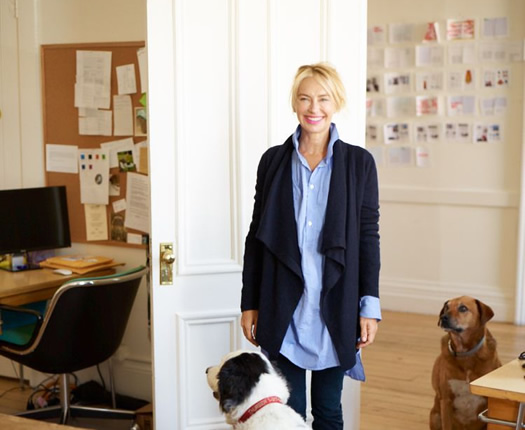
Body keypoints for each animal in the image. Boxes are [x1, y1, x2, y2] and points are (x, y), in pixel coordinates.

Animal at [430, 298, 500, 428]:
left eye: (463, 308)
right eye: (446, 307)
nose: (443, 317)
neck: (465, 354)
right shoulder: (446, 401)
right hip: (435, 416)